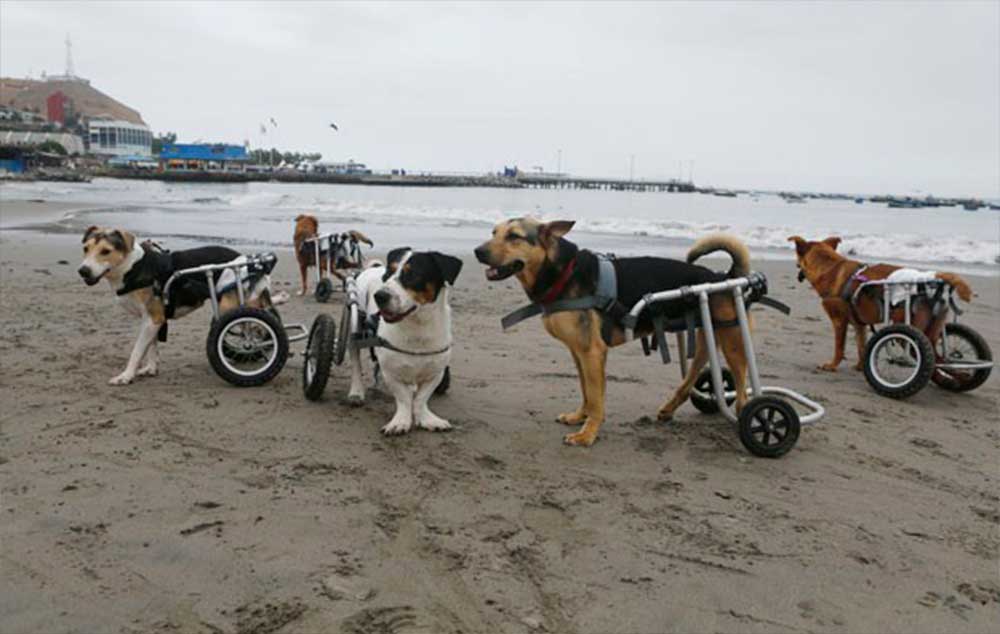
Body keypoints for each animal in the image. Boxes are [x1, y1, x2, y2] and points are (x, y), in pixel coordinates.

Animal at [78, 227, 278, 386]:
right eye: (85, 249)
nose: (83, 271)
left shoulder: (153, 319)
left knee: (255, 327)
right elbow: (152, 346)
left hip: (229, 306)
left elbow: (137, 351)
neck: (133, 267)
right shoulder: (153, 320)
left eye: (105, 251)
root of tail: (255, 265)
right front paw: (151, 368)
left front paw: (126, 376)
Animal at [350, 247, 462, 434]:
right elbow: (403, 398)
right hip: (355, 325)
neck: (417, 327)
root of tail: (373, 268)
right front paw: (401, 421)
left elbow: (421, 398)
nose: (380, 296)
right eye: (389, 273)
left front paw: (426, 418)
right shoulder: (390, 373)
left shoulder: (436, 372)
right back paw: (356, 391)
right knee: (355, 360)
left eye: (413, 275)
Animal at [474, 220, 752, 446]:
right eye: (494, 232)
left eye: (514, 236)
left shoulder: (592, 352)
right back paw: (670, 408)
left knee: (741, 387)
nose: (478, 252)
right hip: (707, 335)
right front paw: (580, 417)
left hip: (733, 340)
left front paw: (587, 435)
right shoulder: (579, 352)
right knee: (695, 374)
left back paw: (748, 421)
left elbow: (596, 398)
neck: (563, 273)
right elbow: (587, 391)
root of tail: (721, 277)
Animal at [788, 235, 968, 368]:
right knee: (941, 360)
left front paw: (832, 365)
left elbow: (840, 347)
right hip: (933, 329)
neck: (829, 268)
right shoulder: (859, 325)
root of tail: (928, 279)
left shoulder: (839, 321)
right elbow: (862, 347)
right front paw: (861, 367)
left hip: (908, 328)